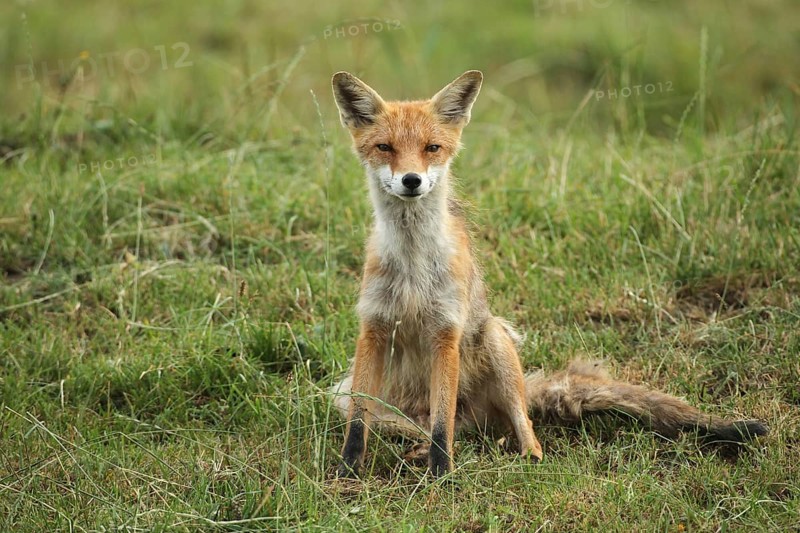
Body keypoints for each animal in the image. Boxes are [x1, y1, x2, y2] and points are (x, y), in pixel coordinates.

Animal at [329, 70, 768, 478]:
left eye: (431, 148)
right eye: (385, 148)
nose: (411, 180)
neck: (413, 264)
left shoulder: (446, 333)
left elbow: (442, 426)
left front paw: (442, 474)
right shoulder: (373, 326)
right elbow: (359, 423)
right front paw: (348, 470)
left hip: (495, 340)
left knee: (507, 421)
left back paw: (523, 453)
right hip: (346, 395)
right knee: (421, 426)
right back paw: (420, 449)